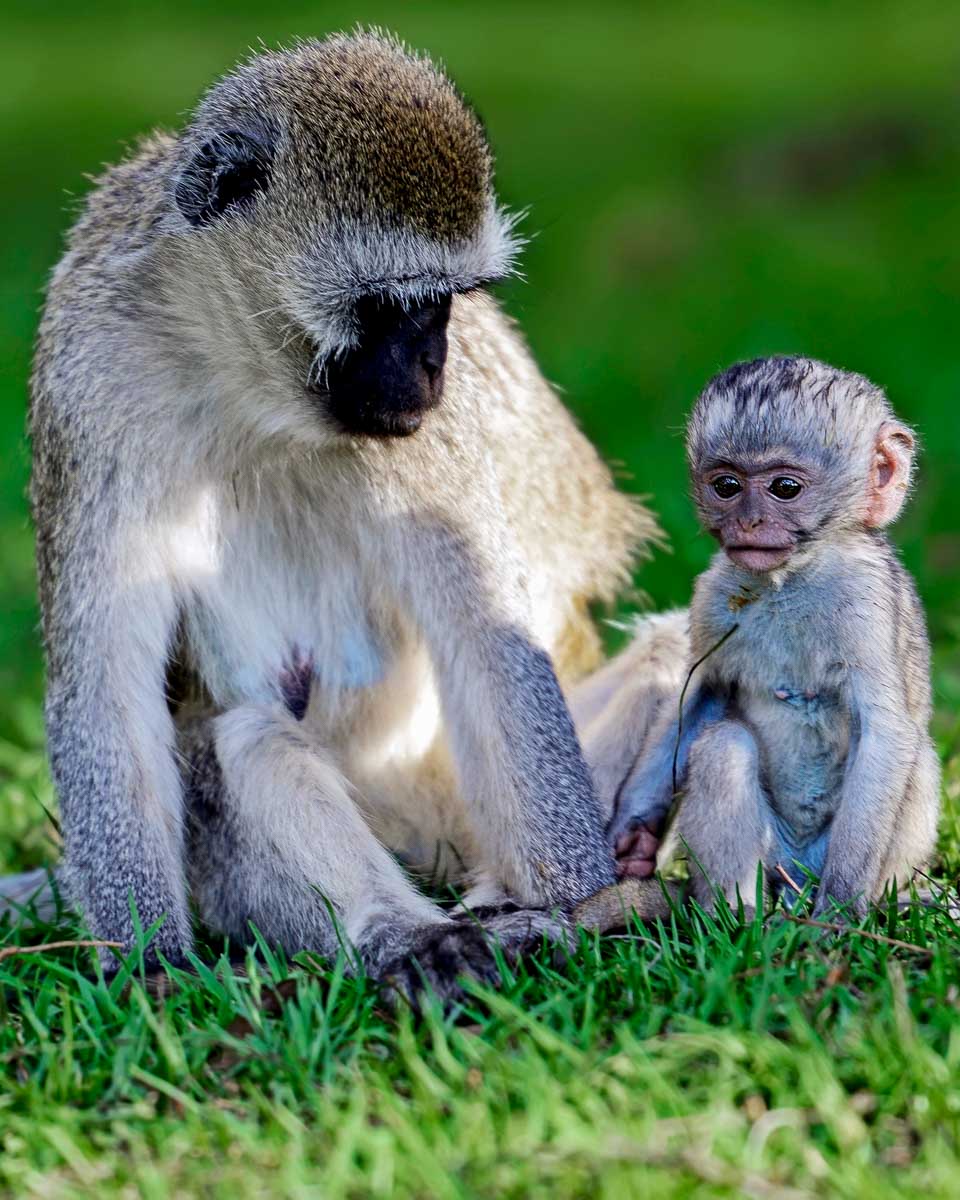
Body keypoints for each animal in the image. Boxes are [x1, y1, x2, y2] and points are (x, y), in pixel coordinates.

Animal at [22, 31, 690, 1003]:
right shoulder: (89, 384)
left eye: (447, 300)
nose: (435, 368)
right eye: (387, 304)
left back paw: (532, 903)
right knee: (251, 743)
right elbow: (105, 683)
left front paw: (581, 906)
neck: (249, 389)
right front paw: (150, 963)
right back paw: (416, 938)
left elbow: (489, 642)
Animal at [609, 356, 941, 919]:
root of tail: (798, 877)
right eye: (726, 485)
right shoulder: (714, 597)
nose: (749, 521)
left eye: (785, 488)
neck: (790, 580)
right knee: (724, 746)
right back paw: (739, 918)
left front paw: (837, 917)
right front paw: (634, 831)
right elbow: (701, 695)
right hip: (775, 860)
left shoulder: (867, 603)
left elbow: (887, 732)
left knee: (913, 758)